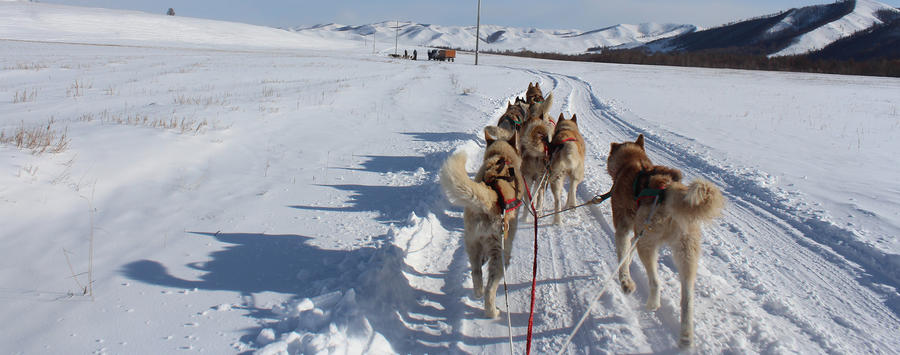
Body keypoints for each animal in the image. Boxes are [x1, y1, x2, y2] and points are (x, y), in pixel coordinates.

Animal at [604, 134, 724, 348]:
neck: (632, 162)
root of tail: (670, 191)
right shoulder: (637, 232)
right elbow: (628, 252)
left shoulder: (624, 229)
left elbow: (623, 259)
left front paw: (626, 283)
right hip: (686, 254)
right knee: (687, 299)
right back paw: (686, 336)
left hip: (647, 244)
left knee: (656, 281)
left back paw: (652, 303)